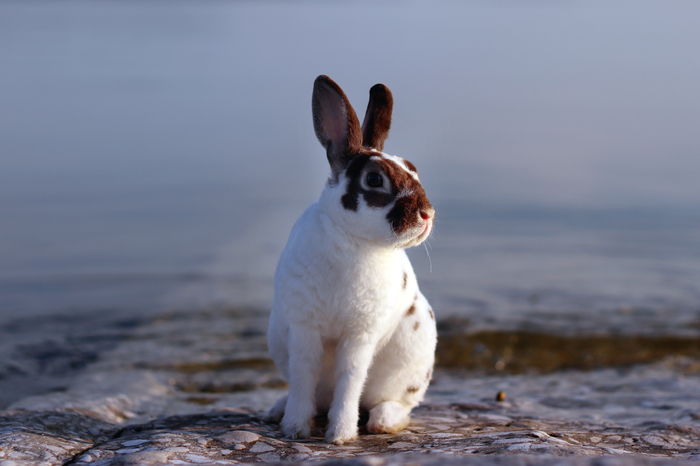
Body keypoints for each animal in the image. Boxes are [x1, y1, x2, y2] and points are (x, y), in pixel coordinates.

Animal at [266, 73, 434, 444]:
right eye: (374, 179)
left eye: (414, 169)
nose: (427, 214)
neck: (352, 241)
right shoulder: (304, 328)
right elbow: (303, 376)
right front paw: (294, 428)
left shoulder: (360, 335)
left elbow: (351, 379)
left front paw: (340, 435)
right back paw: (276, 410)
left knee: (396, 403)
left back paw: (383, 421)